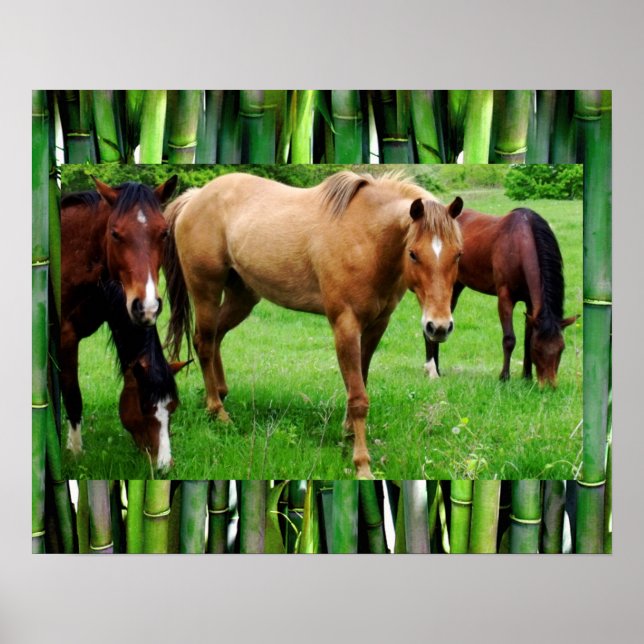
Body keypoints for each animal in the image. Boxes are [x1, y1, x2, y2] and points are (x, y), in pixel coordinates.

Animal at [61, 175, 180, 470]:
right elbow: (72, 395)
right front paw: (75, 452)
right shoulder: (64, 336)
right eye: (115, 233)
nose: (164, 465)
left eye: (164, 233)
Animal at [163, 170, 464, 479]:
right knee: (204, 342)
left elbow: (360, 381)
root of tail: (193, 198)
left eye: (458, 254)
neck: (365, 239)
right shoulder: (345, 325)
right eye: (413, 253)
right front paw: (362, 464)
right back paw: (217, 411)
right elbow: (358, 397)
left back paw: (221, 394)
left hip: (242, 297)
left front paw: (348, 435)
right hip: (206, 291)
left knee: (215, 337)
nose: (439, 327)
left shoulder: (377, 325)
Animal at [424, 207, 578, 387]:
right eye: (538, 350)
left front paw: (527, 377)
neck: (520, 244)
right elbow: (509, 339)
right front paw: (504, 377)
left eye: (562, 349)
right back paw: (433, 369)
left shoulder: (531, 304)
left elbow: (527, 338)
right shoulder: (505, 298)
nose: (549, 386)